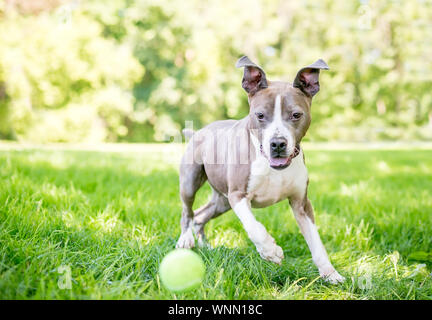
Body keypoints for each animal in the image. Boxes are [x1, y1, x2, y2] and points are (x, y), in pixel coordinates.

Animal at [175, 56, 344, 284]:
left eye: (296, 115)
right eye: (260, 115)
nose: (278, 143)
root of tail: (198, 131)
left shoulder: (301, 203)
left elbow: (316, 243)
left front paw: (330, 274)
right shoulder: (238, 195)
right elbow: (254, 227)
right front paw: (270, 251)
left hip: (221, 201)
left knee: (201, 215)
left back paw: (204, 244)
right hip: (191, 182)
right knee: (188, 211)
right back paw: (186, 240)